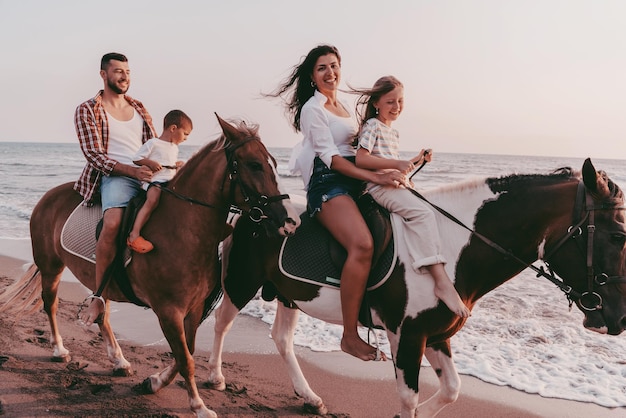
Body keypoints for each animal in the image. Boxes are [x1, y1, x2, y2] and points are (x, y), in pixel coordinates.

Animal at [0, 115, 300, 418]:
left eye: (274, 163)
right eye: (254, 165)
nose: (290, 221)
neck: (183, 229)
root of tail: (48, 196)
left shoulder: (194, 308)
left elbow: (187, 352)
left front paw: (154, 382)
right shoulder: (168, 311)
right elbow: (186, 359)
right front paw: (199, 406)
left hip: (99, 281)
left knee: (102, 314)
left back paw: (118, 360)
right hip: (52, 267)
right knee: (50, 304)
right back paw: (59, 350)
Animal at [206, 158, 624, 418]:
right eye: (619, 235)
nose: (618, 319)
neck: (447, 245)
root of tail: (251, 210)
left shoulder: (435, 333)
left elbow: (452, 389)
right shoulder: (406, 336)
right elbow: (410, 399)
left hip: (290, 294)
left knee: (281, 339)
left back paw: (309, 398)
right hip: (242, 282)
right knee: (223, 323)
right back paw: (215, 377)